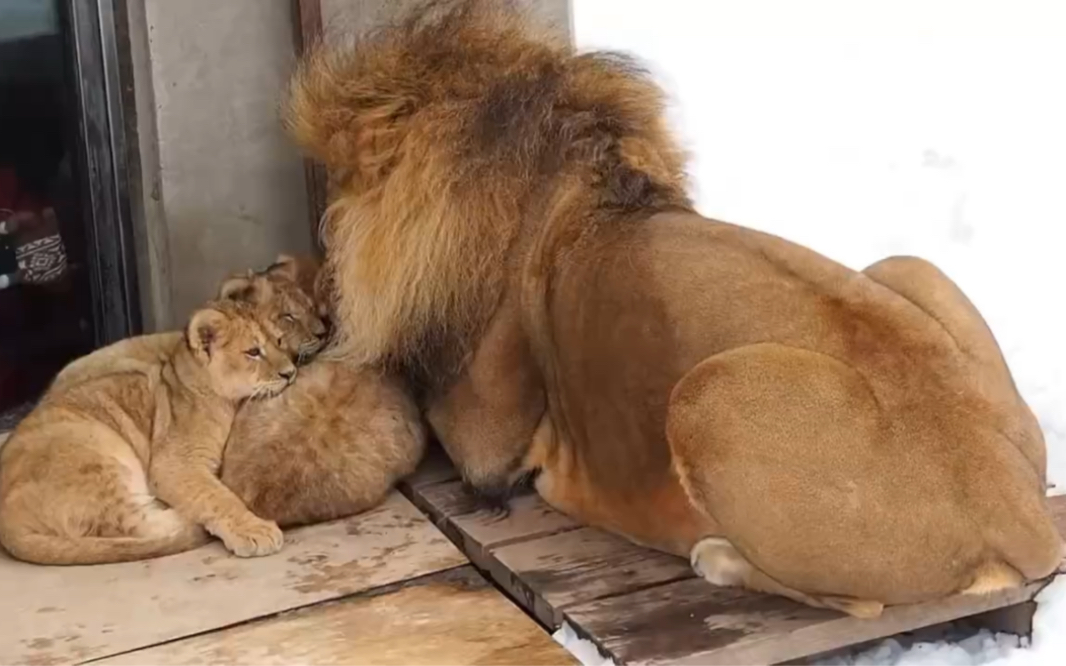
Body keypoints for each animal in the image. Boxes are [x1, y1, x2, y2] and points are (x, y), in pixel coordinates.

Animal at [0, 298, 296, 562]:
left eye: (280, 341)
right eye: (253, 352)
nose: (291, 373)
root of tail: (7, 525)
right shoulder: (176, 464)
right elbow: (217, 497)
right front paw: (254, 530)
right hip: (100, 454)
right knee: (134, 524)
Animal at [285, 0, 1066, 618]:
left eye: (341, 181)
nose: (323, 268)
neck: (575, 181)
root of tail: (1023, 510)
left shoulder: (488, 443)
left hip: (709, 394)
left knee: (856, 603)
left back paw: (708, 554)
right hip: (908, 268)